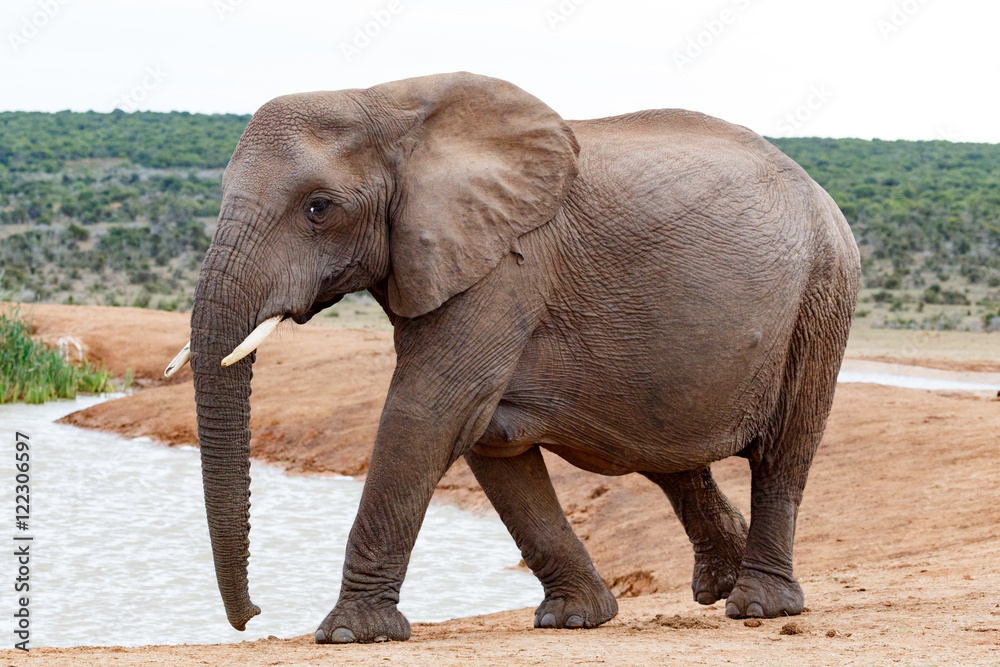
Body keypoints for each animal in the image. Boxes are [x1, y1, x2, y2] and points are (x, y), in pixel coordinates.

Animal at [165, 72, 860, 644]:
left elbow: (429, 413)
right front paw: (575, 619)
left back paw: (759, 606)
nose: (253, 617)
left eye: (318, 208)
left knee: (783, 451)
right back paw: (720, 587)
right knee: (666, 454)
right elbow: (490, 438)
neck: (385, 103)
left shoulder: (504, 267)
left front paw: (348, 634)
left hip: (822, 294)